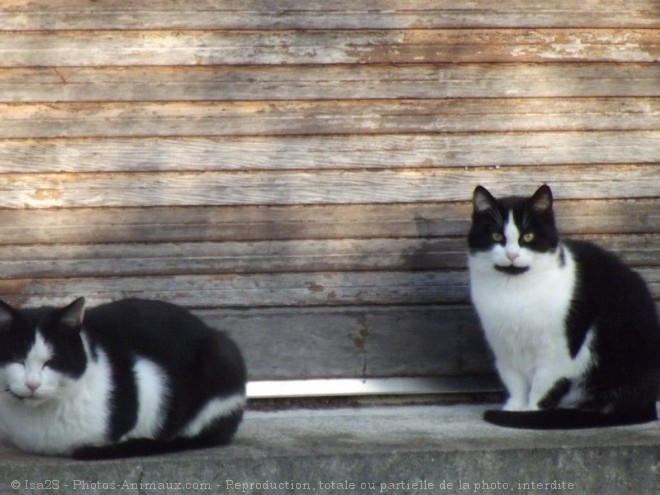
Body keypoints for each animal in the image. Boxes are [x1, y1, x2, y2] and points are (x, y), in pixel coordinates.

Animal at [470, 184, 660, 428]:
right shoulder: (503, 346)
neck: (515, 291)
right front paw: (514, 407)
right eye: (496, 236)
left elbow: (543, 384)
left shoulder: (558, 349)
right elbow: (514, 381)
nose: (512, 254)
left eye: (528, 236)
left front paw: (531, 413)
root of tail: (647, 403)